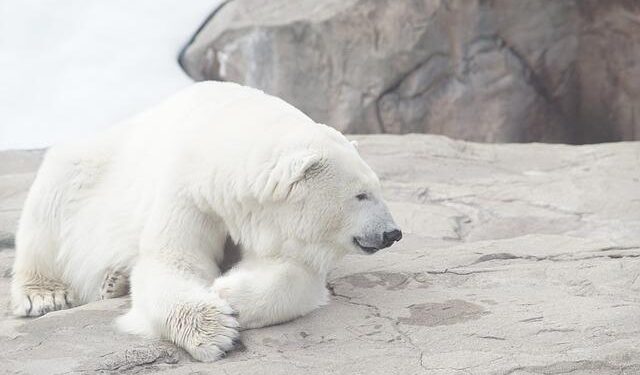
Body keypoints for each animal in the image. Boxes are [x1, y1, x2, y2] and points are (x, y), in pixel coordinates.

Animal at [10, 81, 400, 362]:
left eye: (378, 187)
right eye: (361, 195)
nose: (392, 233)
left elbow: (294, 271)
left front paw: (228, 292)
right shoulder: (190, 191)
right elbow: (172, 261)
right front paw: (214, 329)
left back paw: (114, 281)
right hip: (87, 170)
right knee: (50, 204)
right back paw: (44, 295)